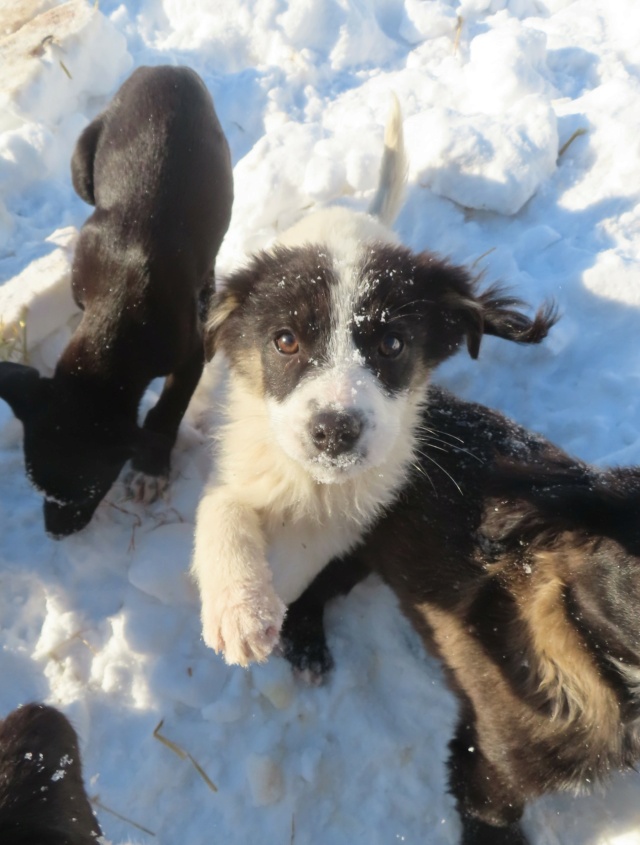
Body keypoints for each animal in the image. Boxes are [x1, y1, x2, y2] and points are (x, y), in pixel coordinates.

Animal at [0, 67, 232, 540]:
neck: (116, 311)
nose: (55, 533)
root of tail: (166, 68)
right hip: (83, 165)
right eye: (37, 489)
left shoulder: (189, 353)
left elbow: (167, 408)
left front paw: (150, 469)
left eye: (91, 489)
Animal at [191, 99, 556, 664]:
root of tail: (360, 217)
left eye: (392, 345)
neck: (312, 482)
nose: (334, 432)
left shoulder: (351, 516)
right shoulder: (239, 470)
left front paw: (274, 604)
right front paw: (241, 612)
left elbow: (304, 555)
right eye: (285, 341)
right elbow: (222, 515)